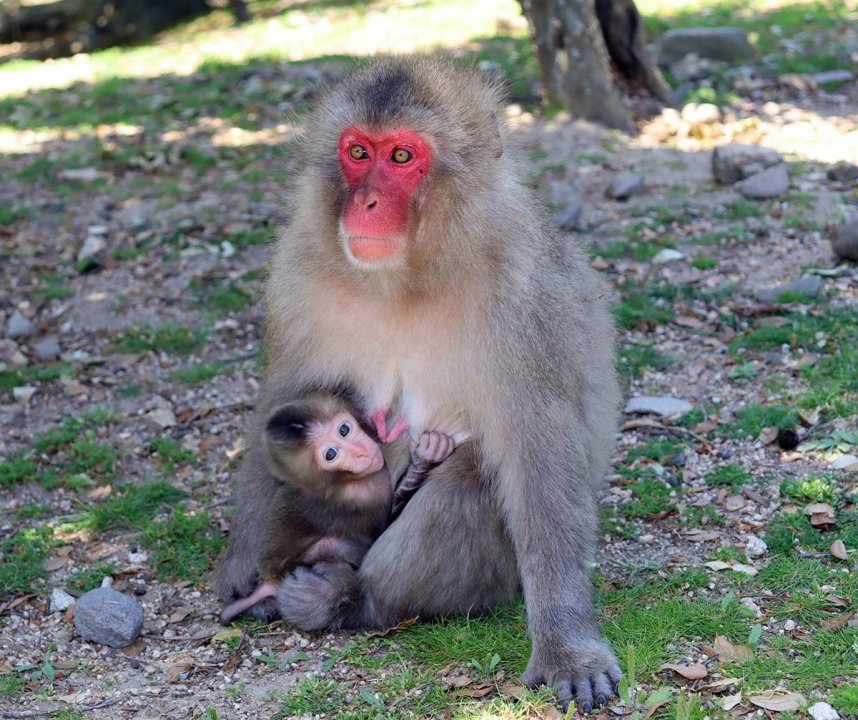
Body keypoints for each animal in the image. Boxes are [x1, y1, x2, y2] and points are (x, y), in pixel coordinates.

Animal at [218, 392, 456, 624]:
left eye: (344, 430)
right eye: (330, 454)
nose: (360, 451)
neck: (344, 481)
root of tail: (270, 580)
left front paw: (425, 457)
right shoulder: (362, 501)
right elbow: (382, 526)